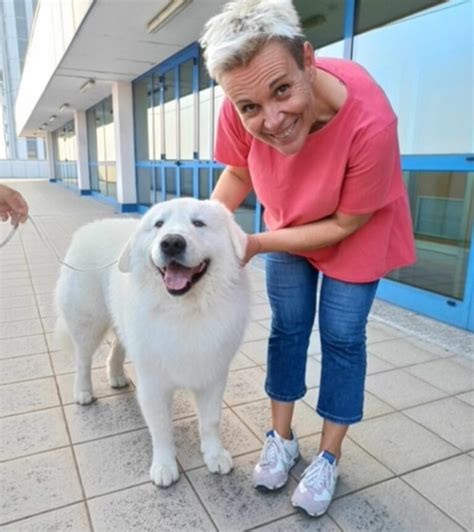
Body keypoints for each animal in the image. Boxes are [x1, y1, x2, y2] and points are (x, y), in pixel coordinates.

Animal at [54, 196, 250, 486]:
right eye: (159, 224)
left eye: (198, 223)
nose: (172, 242)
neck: (183, 311)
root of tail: (87, 229)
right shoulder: (153, 383)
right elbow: (160, 427)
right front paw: (164, 466)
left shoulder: (212, 375)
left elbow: (210, 421)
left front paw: (215, 455)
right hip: (88, 322)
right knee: (82, 360)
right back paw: (83, 392)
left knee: (116, 348)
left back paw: (116, 376)